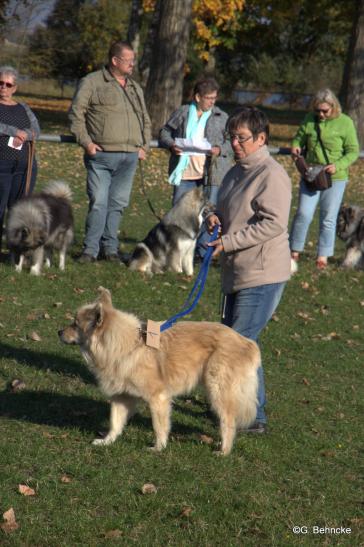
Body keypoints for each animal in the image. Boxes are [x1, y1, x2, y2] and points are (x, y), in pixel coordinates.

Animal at [58, 286, 260, 454]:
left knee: (228, 421)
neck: (124, 345)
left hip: (217, 390)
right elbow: (115, 422)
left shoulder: (158, 397)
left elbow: (159, 426)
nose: (58, 332)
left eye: (75, 324)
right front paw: (107, 441)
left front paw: (158, 447)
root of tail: (248, 343)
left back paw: (224, 451)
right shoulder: (122, 397)